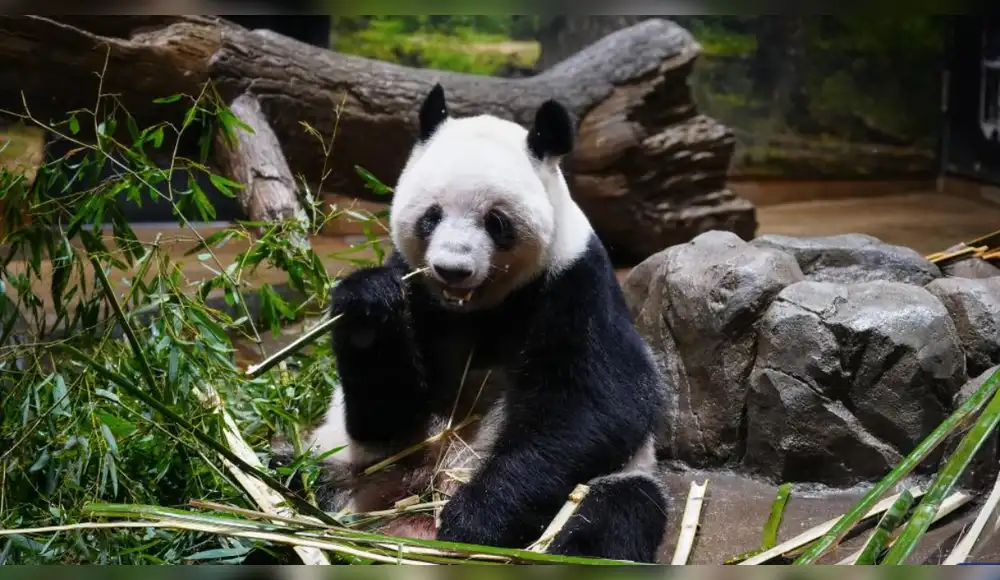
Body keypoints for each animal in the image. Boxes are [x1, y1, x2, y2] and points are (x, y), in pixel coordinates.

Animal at [274, 84, 670, 563]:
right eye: (431, 216)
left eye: (495, 222)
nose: (452, 270)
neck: (477, 309)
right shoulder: (418, 293)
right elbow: (386, 415)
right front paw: (369, 305)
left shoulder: (575, 283)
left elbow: (598, 404)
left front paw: (474, 520)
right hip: (339, 464)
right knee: (285, 473)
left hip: (613, 482)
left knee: (612, 515)